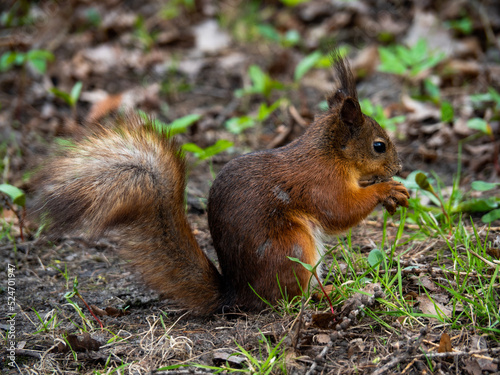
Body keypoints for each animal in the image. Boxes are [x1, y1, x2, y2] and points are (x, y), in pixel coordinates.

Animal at [35, 54, 410, 316]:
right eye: (379, 146)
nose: (399, 166)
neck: (330, 153)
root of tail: (236, 295)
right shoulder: (320, 181)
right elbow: (339, 211)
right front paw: (387, 190)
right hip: (292, 248)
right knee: (285, 299)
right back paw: (322, 294)